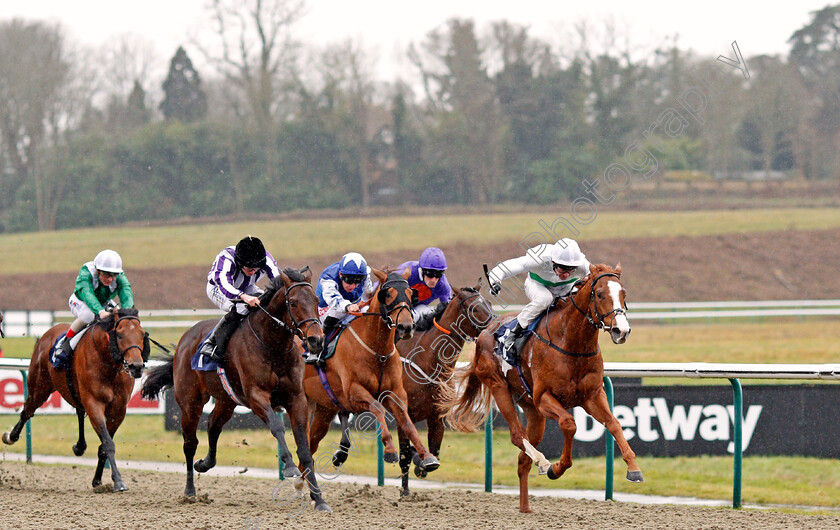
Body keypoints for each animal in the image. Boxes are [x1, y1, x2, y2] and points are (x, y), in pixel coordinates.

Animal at [3, 308, 148, 488]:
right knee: (27, 412)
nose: (137, 367)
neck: (109, 365)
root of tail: (46, 335)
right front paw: (118, 481)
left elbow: (104, 445)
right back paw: (11, 436)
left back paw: (80, 446)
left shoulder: (118, 410)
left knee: (78, 411)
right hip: (39, 388)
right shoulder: (94, 403)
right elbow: (108, 443)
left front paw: (98, 480)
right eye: (120, 335)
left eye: (142, 334)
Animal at [141, 266, 332, 510]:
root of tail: (184, 341)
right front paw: (289, 466)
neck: (273, 346)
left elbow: (305, 448)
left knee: (213, 426)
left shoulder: (296, 398)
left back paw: (205, 463)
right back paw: (190, 491)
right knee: (190, 443)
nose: (316, 340)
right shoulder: (257, 396)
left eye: (316, 300)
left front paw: (319, 499)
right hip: (190, 403)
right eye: (294, 302)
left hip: (226, 401)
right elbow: (277, 428)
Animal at [298, 270, 440, 472]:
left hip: (325, 409)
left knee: (311, 446)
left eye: (410, 293)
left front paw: (426, 456)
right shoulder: (354, 392)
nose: (406, 327)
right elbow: (378, 408)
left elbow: (407, 423)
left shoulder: (396, 392)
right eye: (387, 294)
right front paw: (390, 450)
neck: (377, 350)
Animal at [442, 264, 640, 512]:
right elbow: (569, 424)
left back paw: (526, 506)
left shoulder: (592, 396)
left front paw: (633, 468)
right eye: (600, 294)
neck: (571, 343)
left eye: (624, 293)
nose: (621, 331)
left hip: (532, 411)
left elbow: (614, 423)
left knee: (522, 460)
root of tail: (486, 330)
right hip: (499, 387)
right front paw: (557, 467)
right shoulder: (544, 398)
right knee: (517, 435)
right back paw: (543, 462)